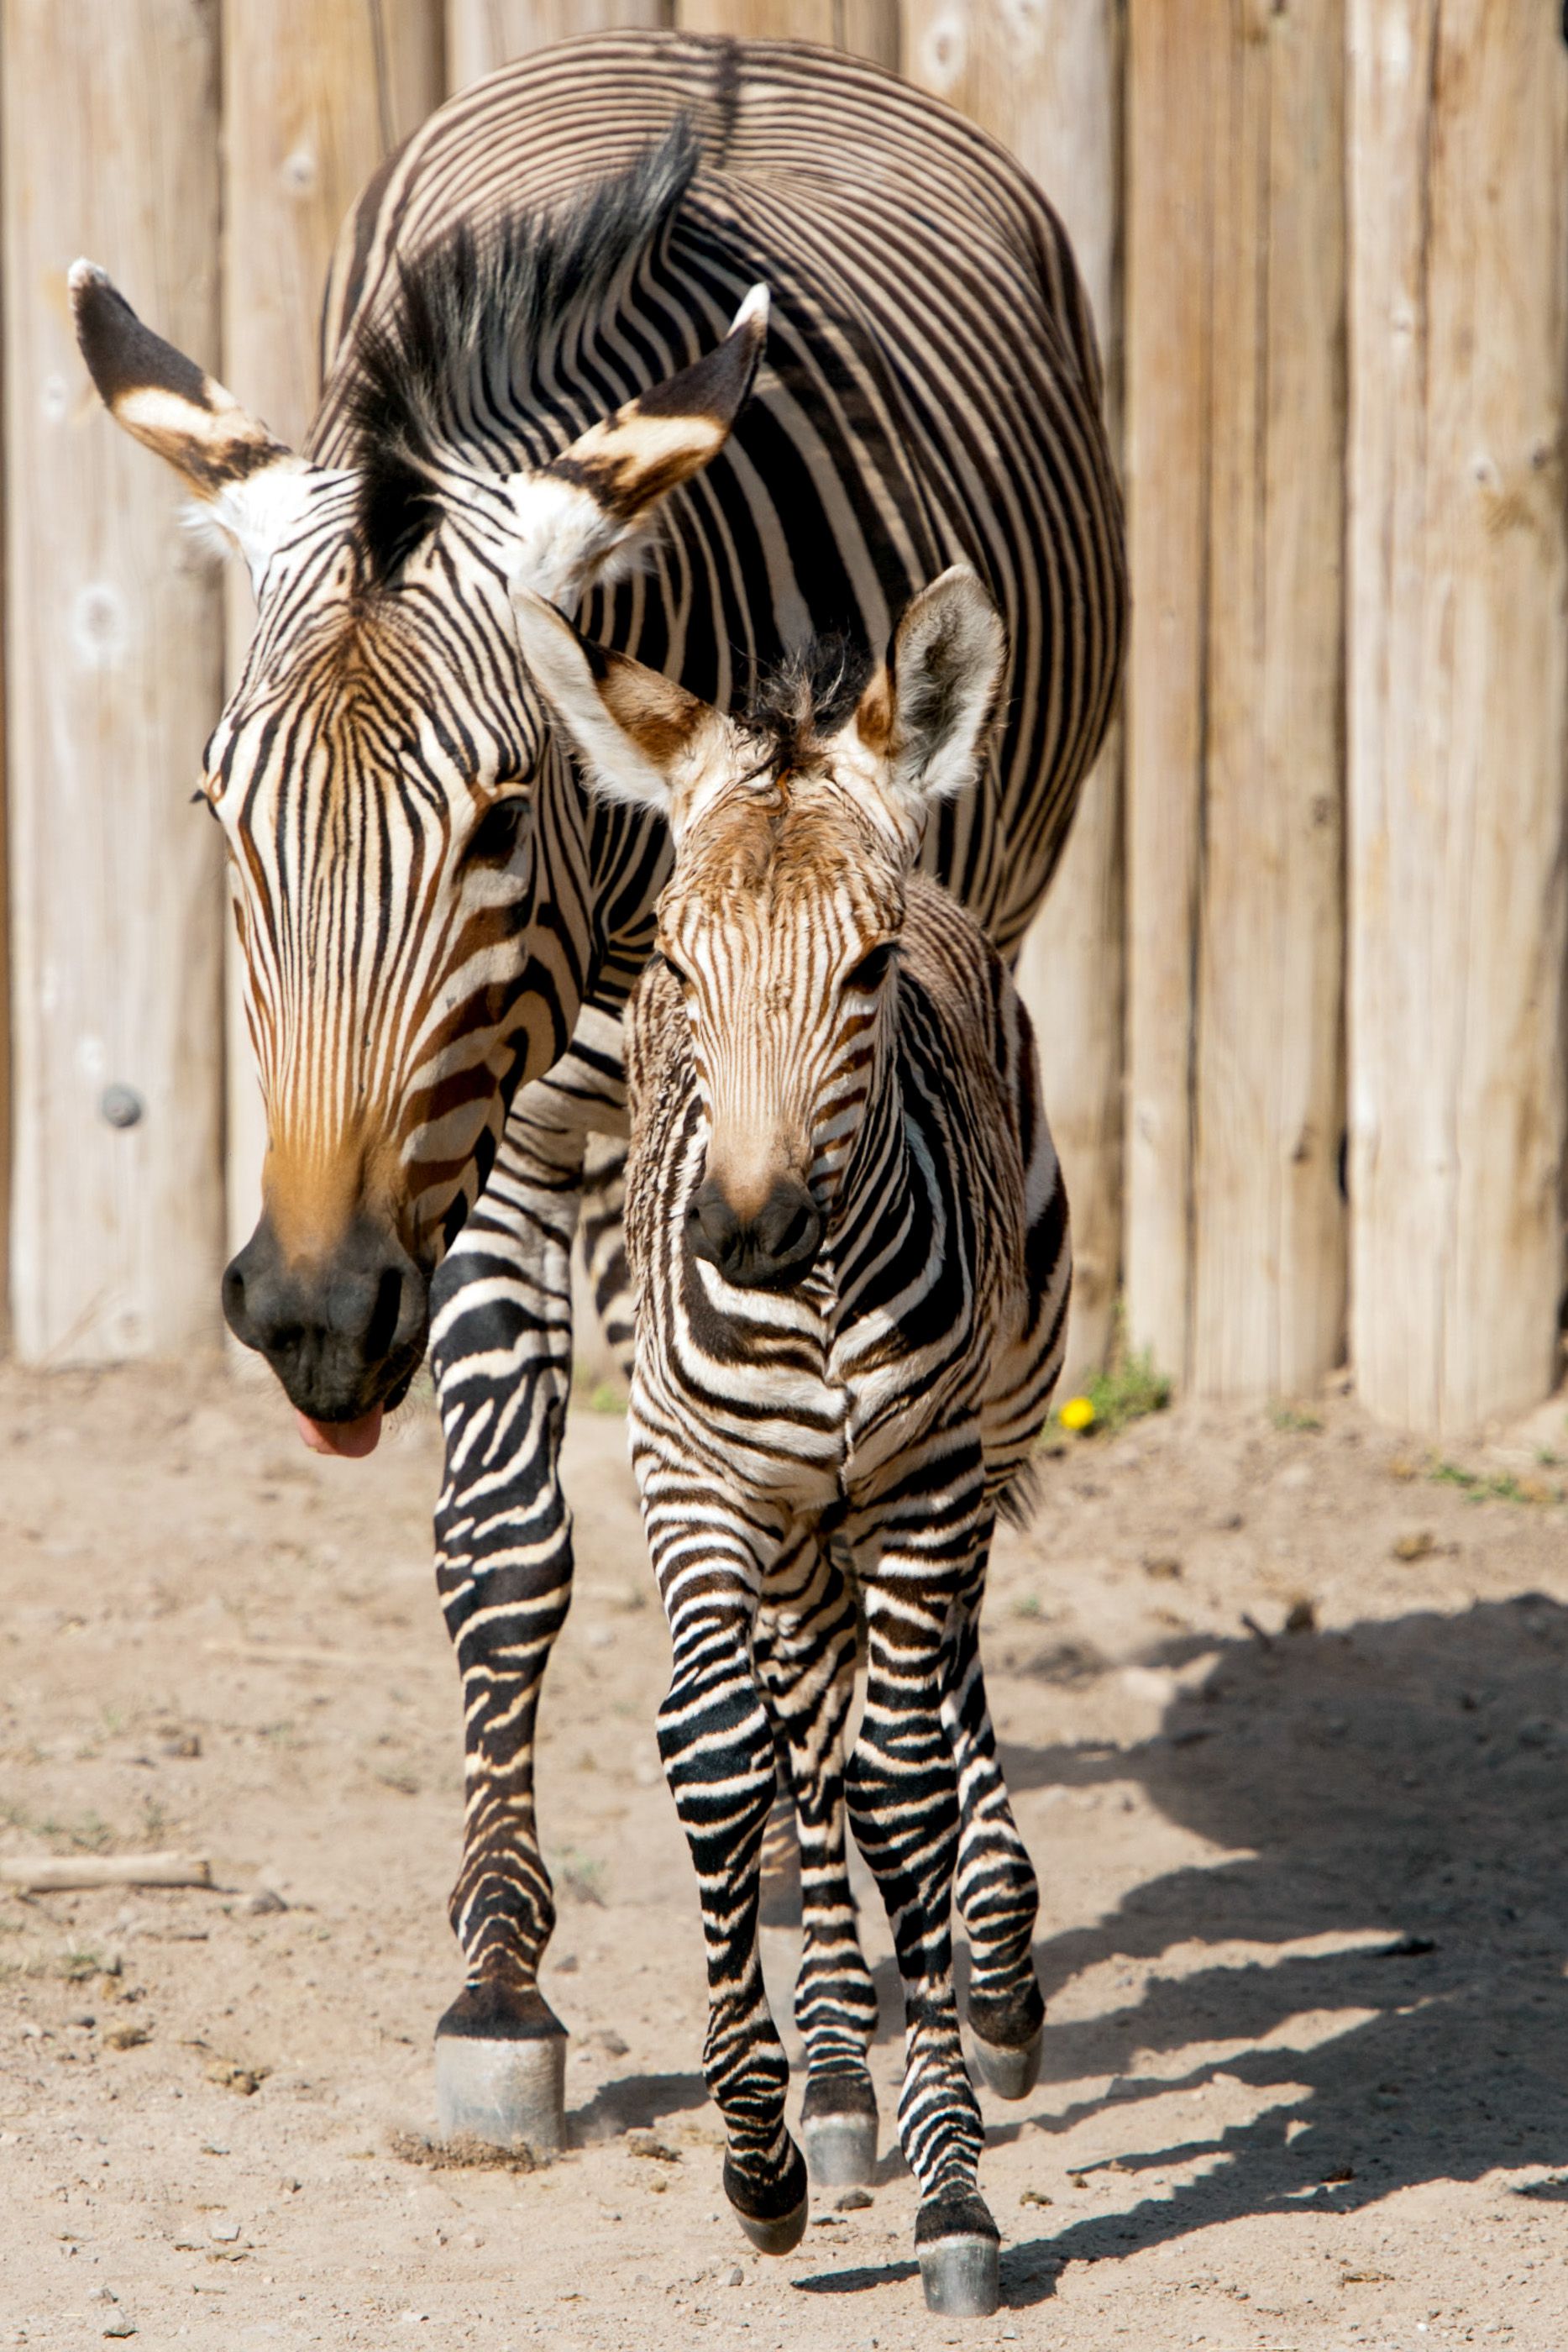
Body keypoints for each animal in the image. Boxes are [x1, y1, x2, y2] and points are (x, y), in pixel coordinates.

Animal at [522, 569, 1072, 2314]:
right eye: (676, 972)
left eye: (867, 967)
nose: (750, 1234)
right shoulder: (688, 1482)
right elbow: (725, 1759)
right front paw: (758, 2151)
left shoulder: (925, 1479)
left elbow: (902, 1780)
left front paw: (954, 2186)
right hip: (784, 1528)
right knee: (805, 1736)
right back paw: (833, 2089)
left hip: (974, 1438)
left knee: (927, 1698)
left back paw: (994, 1969)